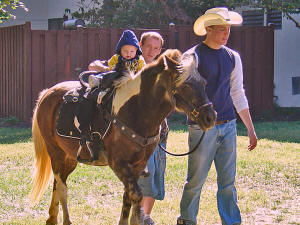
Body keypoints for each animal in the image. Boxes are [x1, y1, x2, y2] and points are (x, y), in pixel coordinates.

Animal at [29, 49, 216, 225]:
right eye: (186, 85)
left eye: (204, 83)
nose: (210, 117)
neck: (136, 111)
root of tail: (47, 94)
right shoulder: (118, 163)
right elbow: (137, 195)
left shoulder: (137, 165)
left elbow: (129, 198)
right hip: (56, 153)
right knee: (62, 188)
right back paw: (66, 220)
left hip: (69, 158)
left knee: (57, 184)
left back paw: (52, 218)